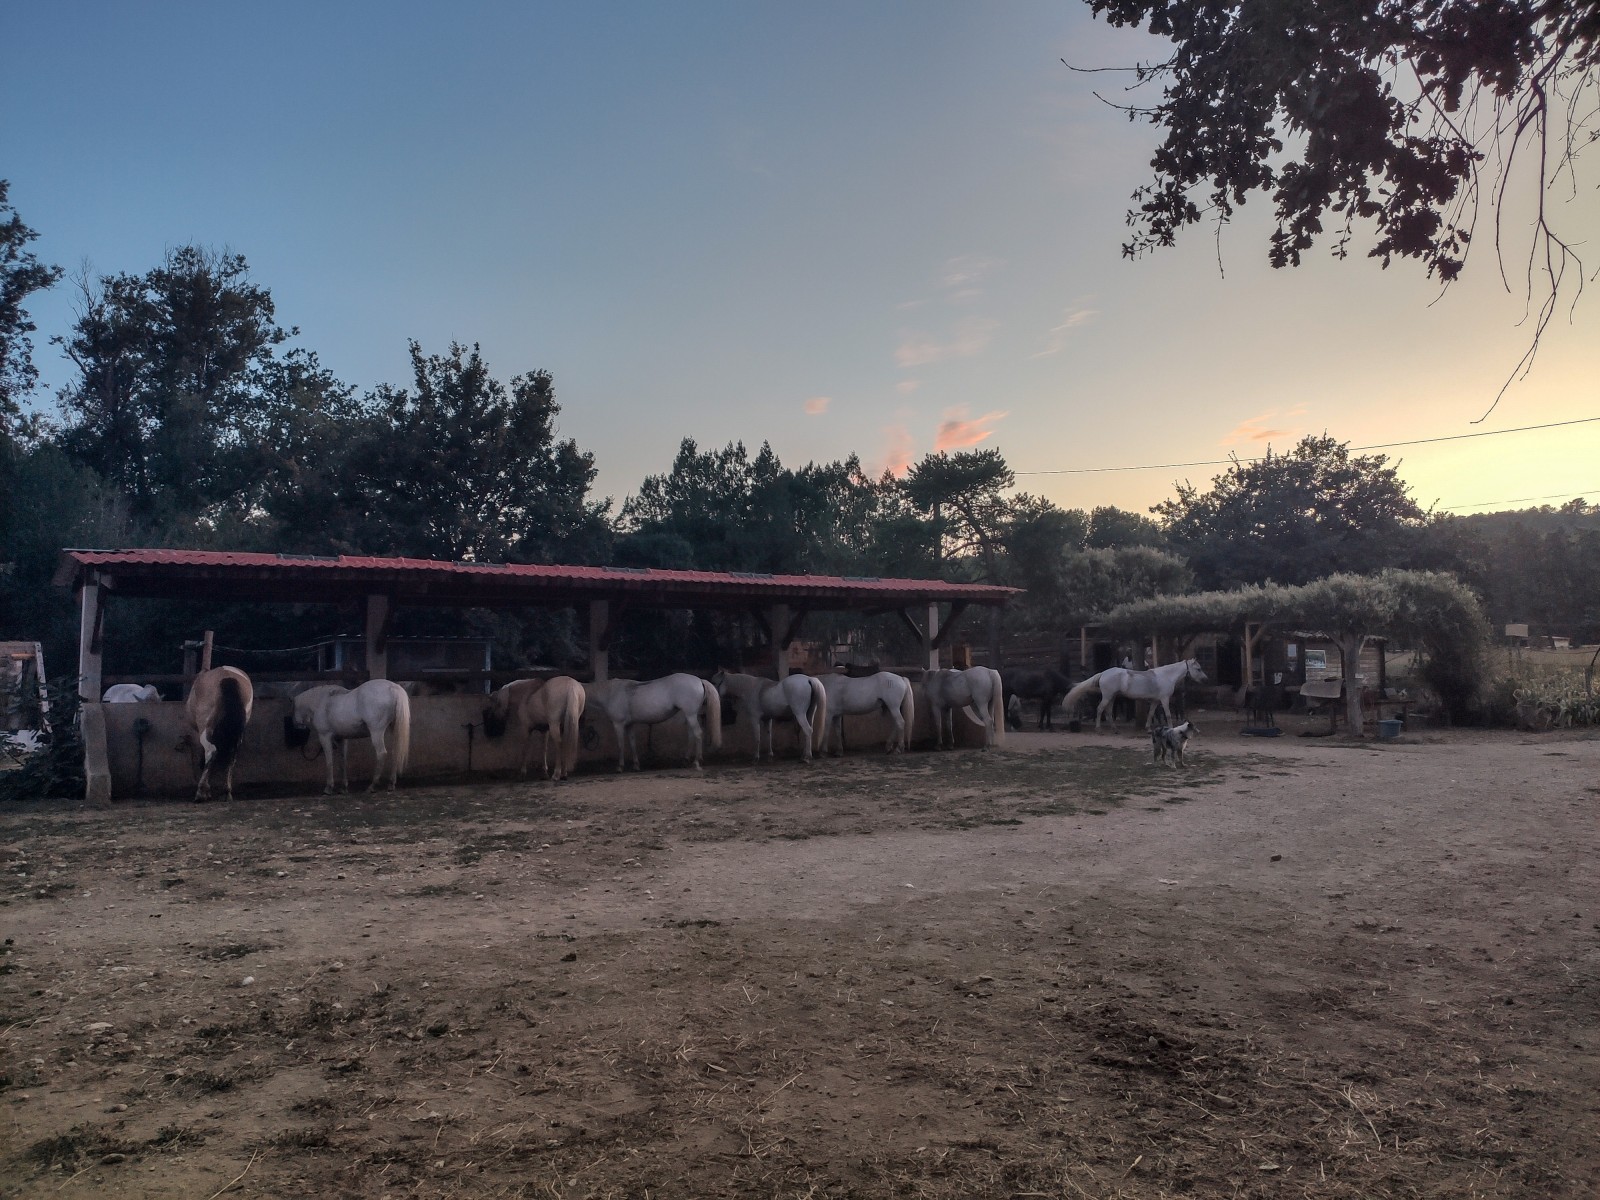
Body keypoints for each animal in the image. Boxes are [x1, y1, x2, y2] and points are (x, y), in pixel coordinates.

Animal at [186, 668, 252, 809]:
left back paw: (201, 792)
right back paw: (226, 792)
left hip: (205, 729)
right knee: (231, 757)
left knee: (211, 752)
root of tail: (227, 676)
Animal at [585, 672, 723, 774]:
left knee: (698, 734)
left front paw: (620, 767)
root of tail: (699, 680)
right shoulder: (629, 724)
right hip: (691, 716)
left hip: (691, 715)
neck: (610, 693)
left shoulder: (618, 724)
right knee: (691, 736)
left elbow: (620, 745)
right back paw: (685, 760)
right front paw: (636, 766)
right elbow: (632, 743)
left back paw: (696, 762)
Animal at [1056, 659, 1203, 732]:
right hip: (1108, 696)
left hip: (1112, 697)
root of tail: (1103, 673)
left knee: (1108, 711)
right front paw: (1171, 729)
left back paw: (1115, 729)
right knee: (1100, 709)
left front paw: (1148, 728)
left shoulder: (1155, 701)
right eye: (1198, 669)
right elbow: (1167, 715)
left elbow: (1151, 713)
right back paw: (1099, 729)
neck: (1166, 676)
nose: (1205, 679)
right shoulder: (1164, 699)